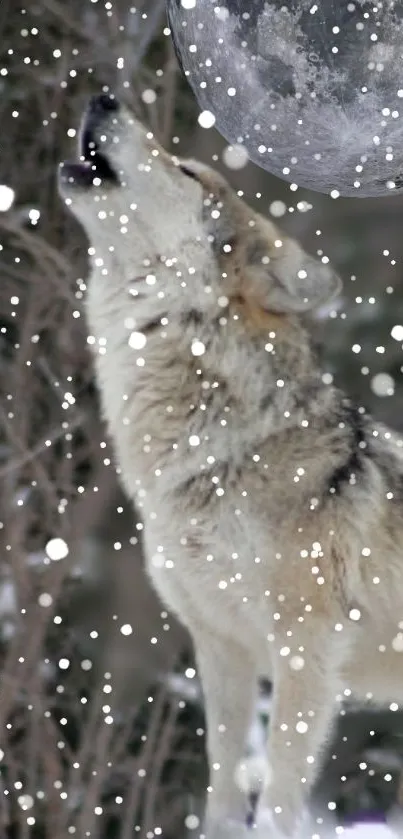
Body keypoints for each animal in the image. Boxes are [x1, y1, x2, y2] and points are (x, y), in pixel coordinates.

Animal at [59, 94, 403, 838]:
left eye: (189, 170)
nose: (103, 98)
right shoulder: (219, 644)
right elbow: (221, 787)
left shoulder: (305, 648)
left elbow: (275, 801)